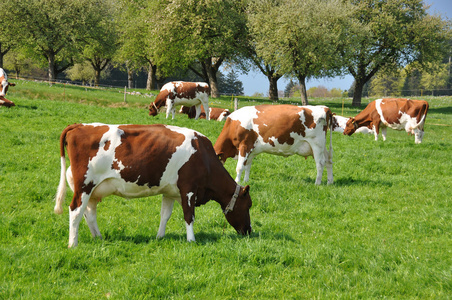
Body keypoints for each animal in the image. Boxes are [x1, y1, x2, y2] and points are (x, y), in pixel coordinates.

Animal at [54, 123, 252, 247]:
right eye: (248, 205)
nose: (249, 231)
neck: (203, 155)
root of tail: (79, 125)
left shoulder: (171, 191)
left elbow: (165, 215)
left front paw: (160, 237)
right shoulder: (189, 188)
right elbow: (189, 216)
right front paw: (191, 240)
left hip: (94, 190)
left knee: (89, 213)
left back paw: (98, 237)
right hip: (84, 185)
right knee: (76, 210)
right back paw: (73, 243)